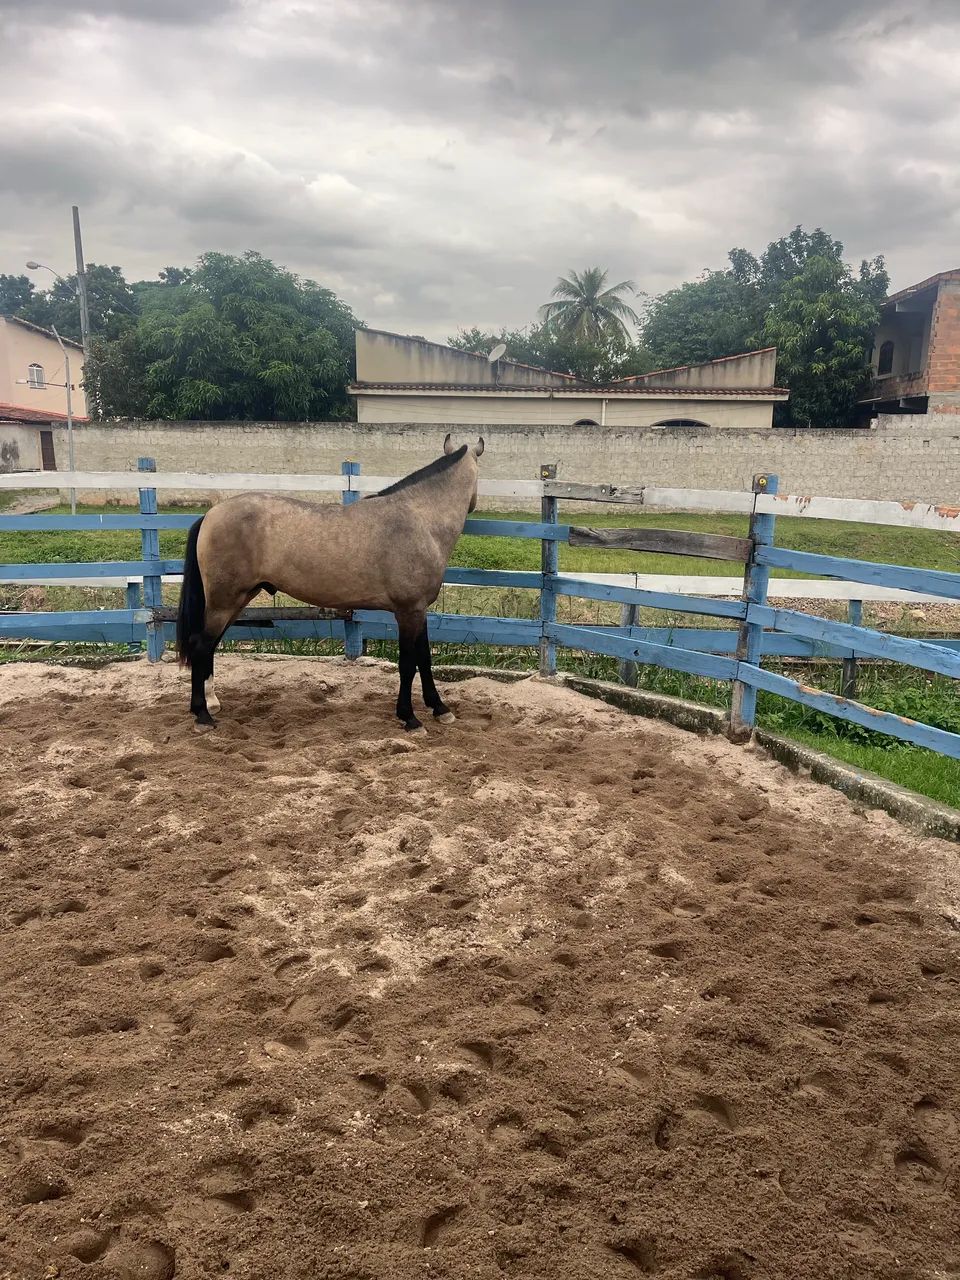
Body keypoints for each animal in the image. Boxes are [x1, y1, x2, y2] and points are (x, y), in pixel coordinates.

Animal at [175, 435, 484, 733]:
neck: (419, 520)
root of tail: (210, 515)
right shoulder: (408, 611)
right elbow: (408, 665)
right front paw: (409, 718)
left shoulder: (419, 611)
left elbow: (424, 659)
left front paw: (440, 709)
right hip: (224, 602)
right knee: (201, 645)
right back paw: (202, 715)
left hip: (237, 600)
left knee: (209, 646)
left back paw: (210, 704)